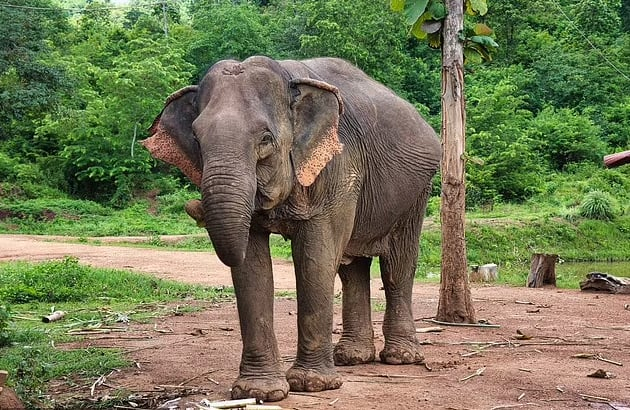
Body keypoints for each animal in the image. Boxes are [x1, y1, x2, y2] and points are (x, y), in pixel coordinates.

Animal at [143, 56, 442, 402]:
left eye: (265, 140)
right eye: (196, 140)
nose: (194, 208)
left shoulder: (337, 166)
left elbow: (315, 259)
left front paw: (311, 385)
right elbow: (253, 268)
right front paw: (260, 392)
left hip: (418, 190)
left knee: (397, 266)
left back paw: (400, 358)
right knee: (352, 267)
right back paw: (352, 358)